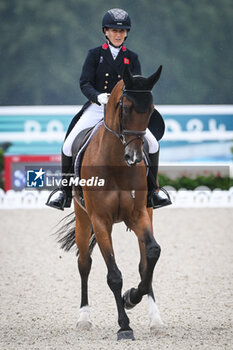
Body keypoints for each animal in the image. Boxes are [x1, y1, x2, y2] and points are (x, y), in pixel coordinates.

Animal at [57, 65, 165, 340]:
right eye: (124, 107)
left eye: (150, 110)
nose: (134, 158)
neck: (116, 162)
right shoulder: (100, 221)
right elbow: (114, 275)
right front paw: (124, 326)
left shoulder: (138, 216)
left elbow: (151, 255)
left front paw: (131, 298)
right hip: (83, 220)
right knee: (84, 264)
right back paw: (84, 318)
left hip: (148, 213)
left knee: (146, 262)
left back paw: (156, 320)